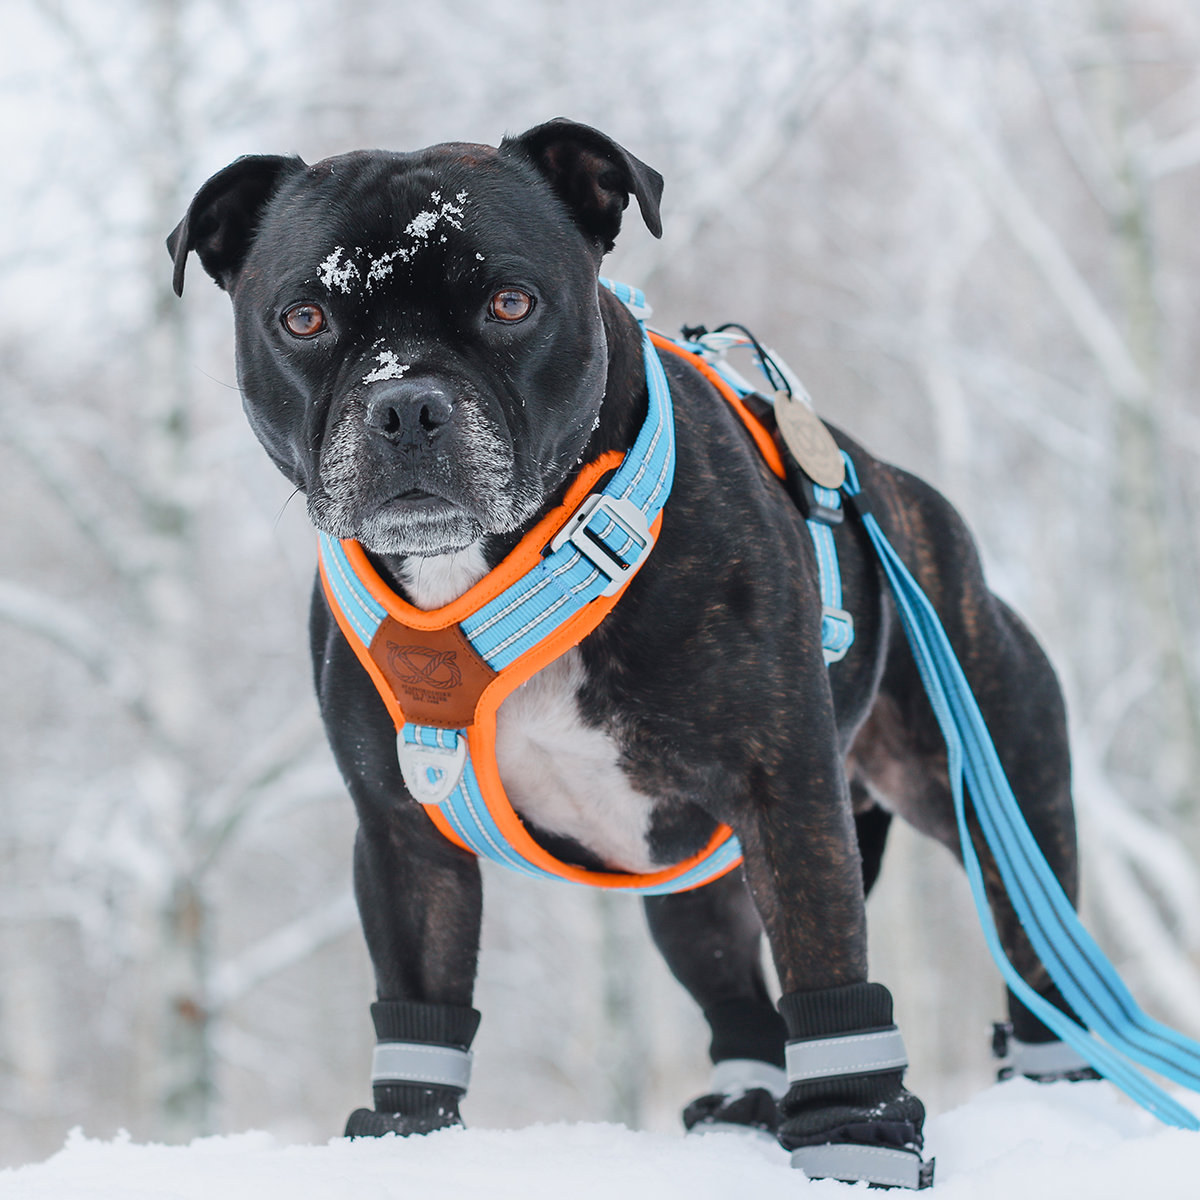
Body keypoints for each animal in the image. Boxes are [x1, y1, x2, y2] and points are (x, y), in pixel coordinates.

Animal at [166, 117, 1080, 1185]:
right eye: (304, 318)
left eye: (512, 303)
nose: (406, 406)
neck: (500, 565)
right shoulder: (401, 829)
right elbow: (419, 1002)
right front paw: (406, 1143)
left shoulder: (786, 789)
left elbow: (828, 970)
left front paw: (857, 1141)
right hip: (688, 887)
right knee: (741, 1003)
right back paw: (742, 1109)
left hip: (994, 796)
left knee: (1043, 956)